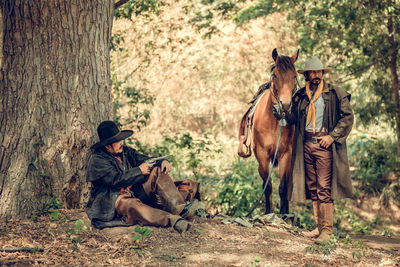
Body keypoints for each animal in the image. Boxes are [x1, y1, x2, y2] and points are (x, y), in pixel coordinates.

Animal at [238, 48, 296, 216]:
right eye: (275, 75)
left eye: (295, 75)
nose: (285, 106)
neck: (274, 122)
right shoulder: (262, 154)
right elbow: (267, 186)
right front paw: (268, 211)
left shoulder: (286, 154)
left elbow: (283, 187)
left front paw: (283, 214)